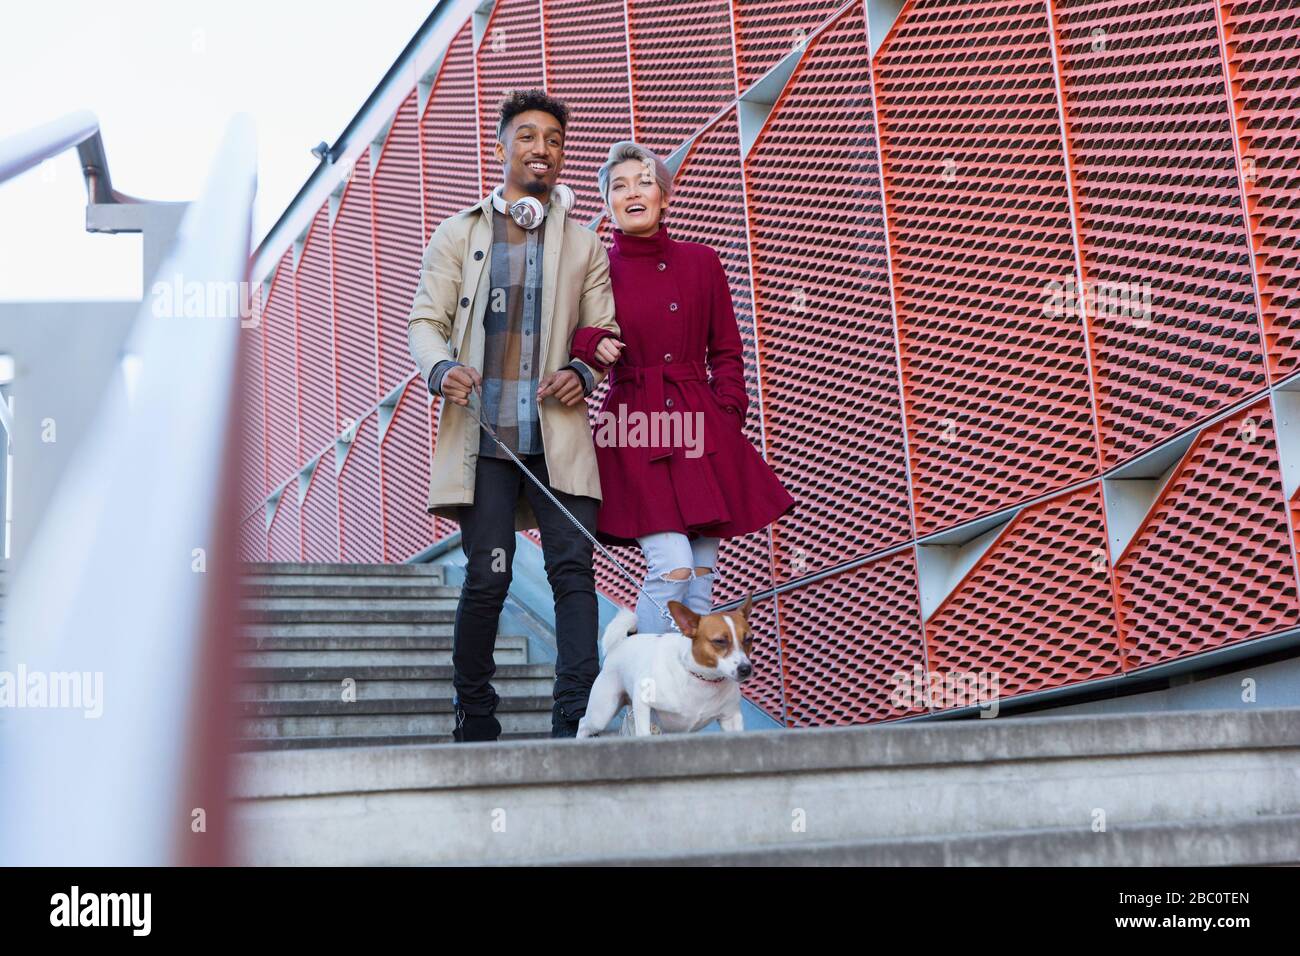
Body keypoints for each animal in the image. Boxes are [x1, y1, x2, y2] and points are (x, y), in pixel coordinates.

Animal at [577, 598, 759, 738]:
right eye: (720, 641)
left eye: (749, 639)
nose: (746, 669)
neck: (703, 679)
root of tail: (622, 642)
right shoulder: (642, 701)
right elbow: (644, 733)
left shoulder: (731, 718)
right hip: (602, 712)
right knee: (583, 723)